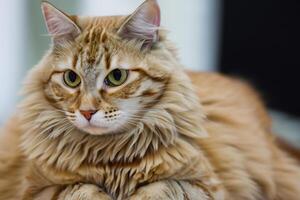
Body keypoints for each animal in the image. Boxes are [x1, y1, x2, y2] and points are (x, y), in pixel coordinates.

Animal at [0, 0, 300, 200]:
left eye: (117, 77)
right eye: (72, 78)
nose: (86, 112)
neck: (111, 159)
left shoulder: (205, 186)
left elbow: (166, 187)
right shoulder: (38, 189)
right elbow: (82, 189)